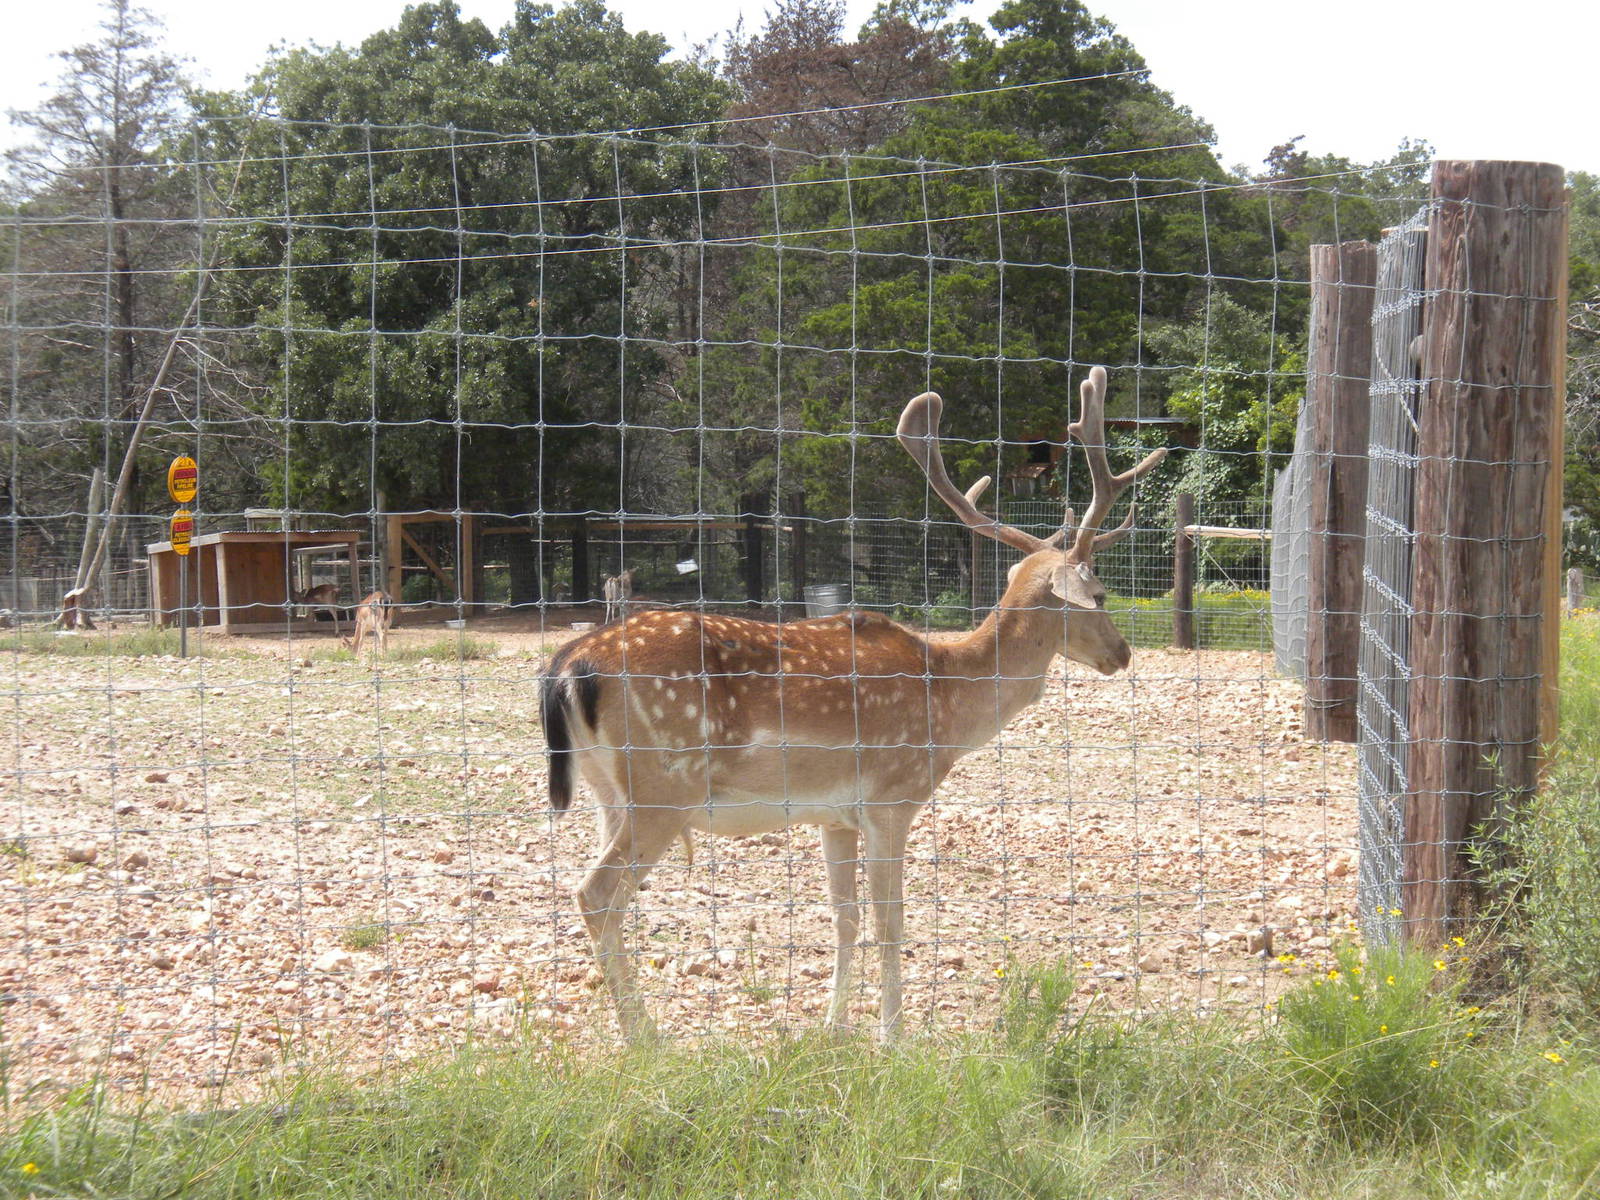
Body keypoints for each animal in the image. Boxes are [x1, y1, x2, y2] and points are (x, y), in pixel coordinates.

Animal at [540, 366, 1165, 1041]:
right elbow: (891, 921)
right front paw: (894, 1036)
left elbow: (844, 918)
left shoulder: (833, 815)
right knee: (595, 894)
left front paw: (832, 1027)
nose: (1123, 652)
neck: (950, 702)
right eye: (1100, 595)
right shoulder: (891, 798)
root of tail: (566, 668)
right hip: (662, 786)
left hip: (607, 792)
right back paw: (645, 1040)